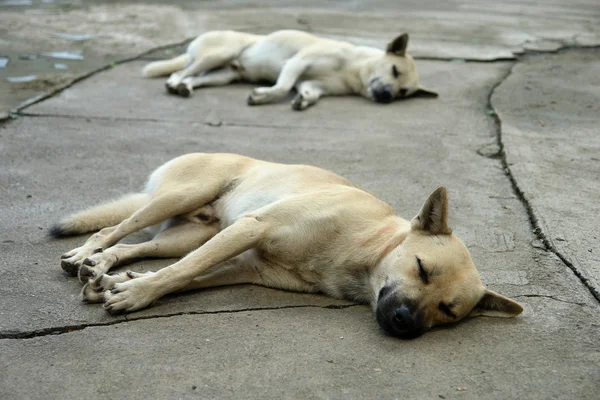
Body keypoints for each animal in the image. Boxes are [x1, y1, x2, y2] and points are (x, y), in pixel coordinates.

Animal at [52, 153, 520, 338]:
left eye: (448, 311)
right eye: (422, 269)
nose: (405, 323)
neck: (366, 248)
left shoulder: (243, 265)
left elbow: (185, 274)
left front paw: (124, 283)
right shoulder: (251, 228)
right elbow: (184, 271)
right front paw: (137, 292)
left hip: (189, 233)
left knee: (139, 248)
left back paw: (101, 267)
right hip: (179, 196)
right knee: (114, 230)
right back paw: (84, 254)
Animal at [143, 29, 438, 111]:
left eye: (403, 92)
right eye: (394, 70)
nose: (387, 96)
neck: (352, 70)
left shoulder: (312, 84)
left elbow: (307, 92)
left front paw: (303, 101)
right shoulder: (297, 63)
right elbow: (281, 86)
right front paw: (262, 95)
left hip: (223, 76)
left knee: (195, 78)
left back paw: (185, 88)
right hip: (217, 54)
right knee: (180, 71)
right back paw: (174, 83)